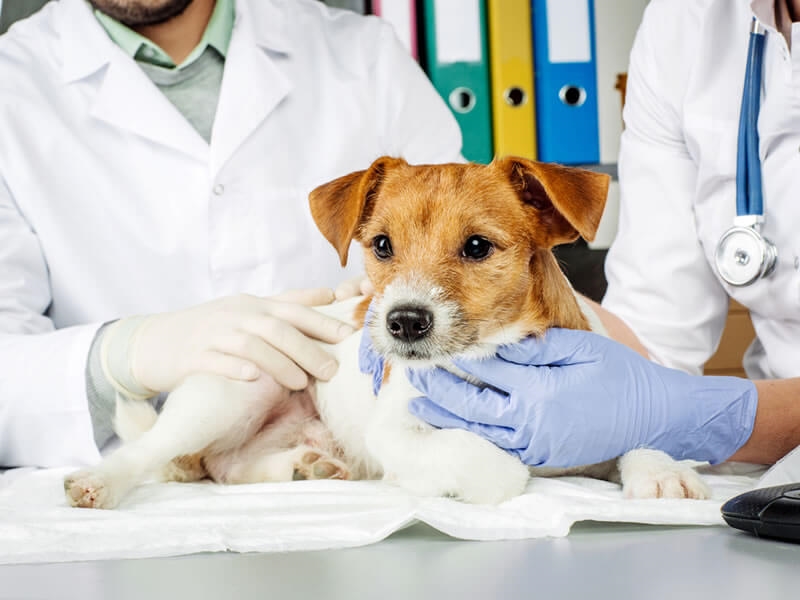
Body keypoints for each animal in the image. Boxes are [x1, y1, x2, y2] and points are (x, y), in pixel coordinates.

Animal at [64, 157, 712, 508]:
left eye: (477, 246)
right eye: (381, 245)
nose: (403, 321)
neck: (495, 360)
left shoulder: (591, 406)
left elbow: (635, 432)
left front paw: (661, 470)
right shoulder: (398, 430)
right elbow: (495, 464)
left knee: (226, 468)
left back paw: (306, 468)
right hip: (234, 389)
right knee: (155, 451)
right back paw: (100, 482)